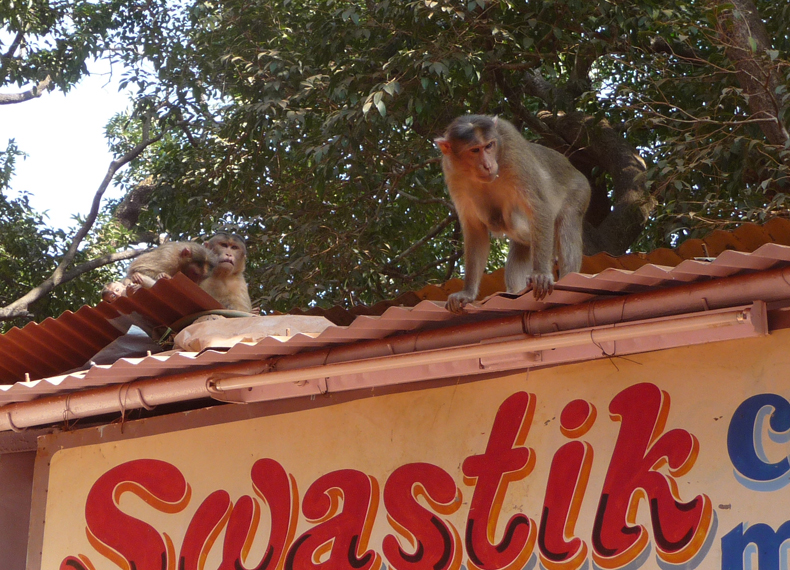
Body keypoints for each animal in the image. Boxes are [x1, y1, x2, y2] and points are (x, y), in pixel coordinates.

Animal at [435, 115, 591, 313]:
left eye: (489, 145)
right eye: (474, 150)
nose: (488, 165)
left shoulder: (512, 148)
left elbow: (539, 206)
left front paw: (541, 274)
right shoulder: (452, 173)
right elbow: (475, 229)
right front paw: (467, 293)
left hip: (580, 191)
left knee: (565, 224)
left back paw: (567, 275)